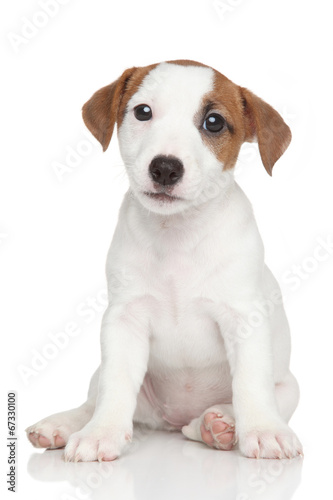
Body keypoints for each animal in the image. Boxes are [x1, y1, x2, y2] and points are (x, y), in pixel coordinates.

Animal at [26, 61, 302, 460]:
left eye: (214, 122)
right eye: (143, 112)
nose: (166, 168)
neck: (177, 234)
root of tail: (175, 421)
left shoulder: (244, 318)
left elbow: (250, 382)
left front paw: (264, 431)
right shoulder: (123, 321)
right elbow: (114, 386)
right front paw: (101, 434)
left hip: (289, 388)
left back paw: (218, 424)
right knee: (92, 399)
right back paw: (61, 425)